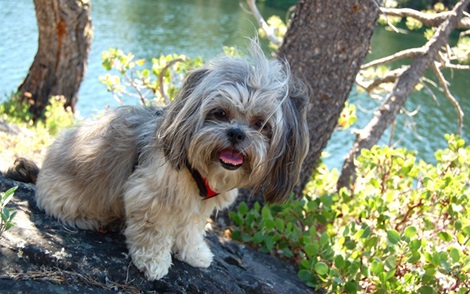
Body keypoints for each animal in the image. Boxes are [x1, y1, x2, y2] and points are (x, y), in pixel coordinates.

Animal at [7, 42, 310, 280]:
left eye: (261, 124)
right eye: (220, 113)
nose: (236, 133)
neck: (200, 169)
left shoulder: (196, 206)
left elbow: (190, 229)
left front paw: (194, 252)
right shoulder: (149, 195)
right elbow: (152, 233)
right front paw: (154, 262)